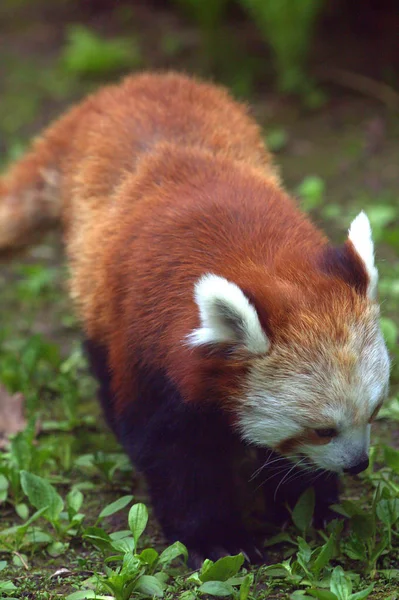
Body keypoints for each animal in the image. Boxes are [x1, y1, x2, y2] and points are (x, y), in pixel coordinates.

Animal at [0, 72, 390, 564]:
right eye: (322, 430)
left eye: (375, 411)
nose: (359, 463)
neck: (252, 259)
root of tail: (127, 85)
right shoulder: (148, 347)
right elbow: (174, 454)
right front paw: (216, 537)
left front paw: (313, 509)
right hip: (97, 292)